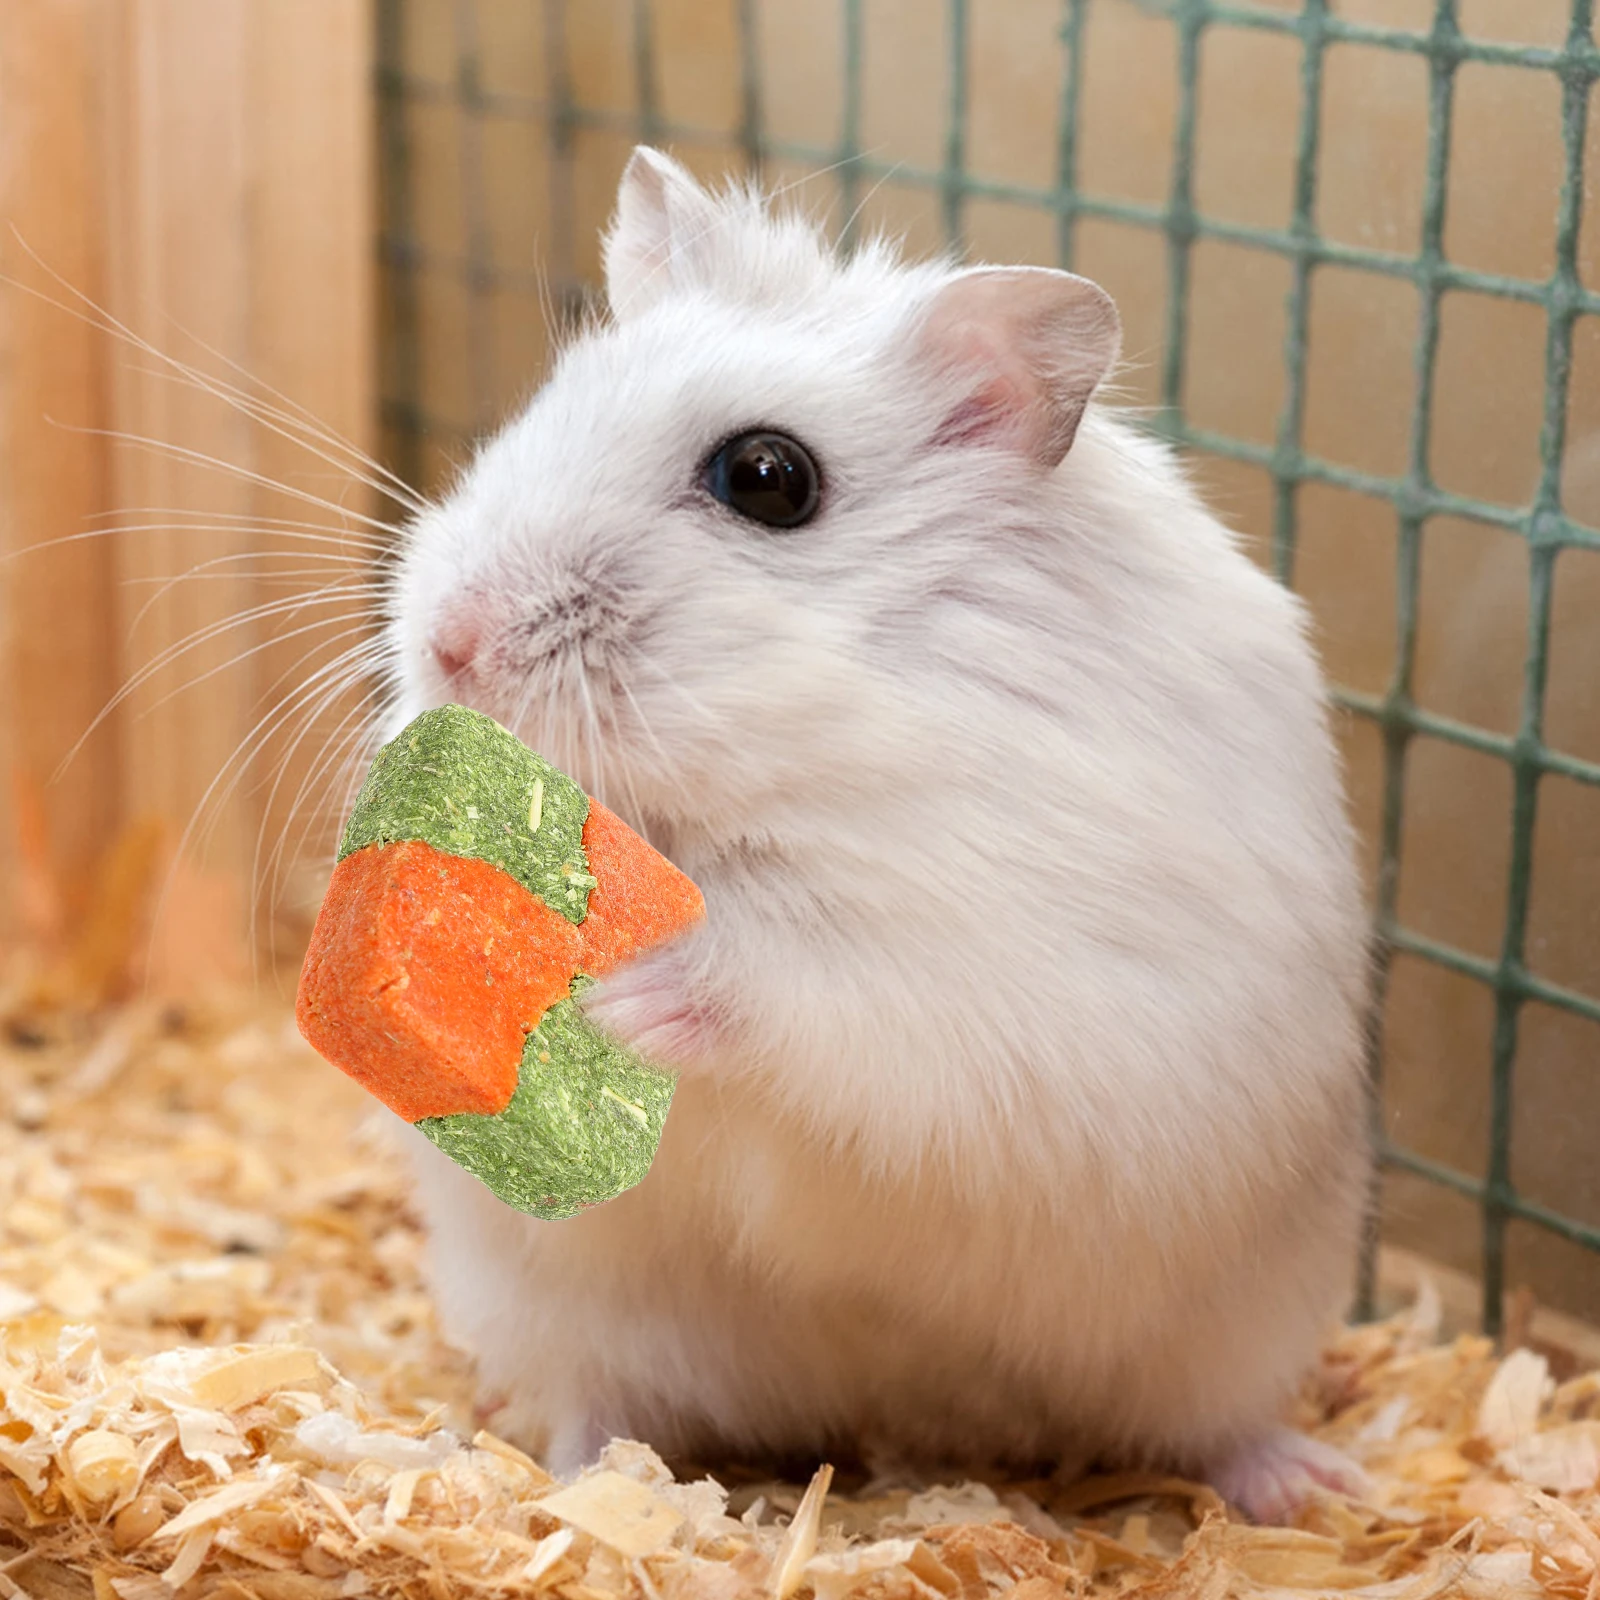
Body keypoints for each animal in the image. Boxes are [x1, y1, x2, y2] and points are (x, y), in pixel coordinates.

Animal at [380, 146, 1373, 1524]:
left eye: (768, 477)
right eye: (548, 404)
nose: (449, 643)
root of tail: (920, 1412)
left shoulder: (968, 974)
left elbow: (795, 984)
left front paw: (624, 997)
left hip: (1239, 1322)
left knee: (1214, 1423)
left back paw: (1316, 1490)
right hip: (574, 1308)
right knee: (605, 1406)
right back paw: (568, 1487)